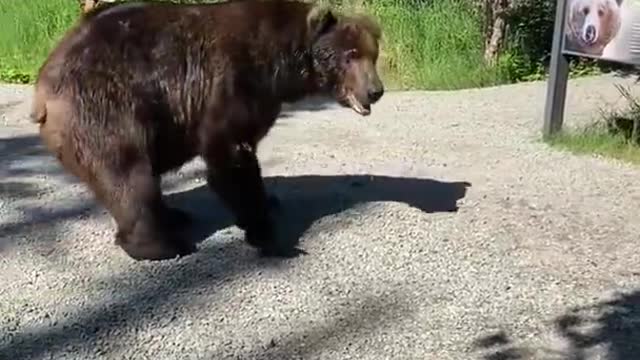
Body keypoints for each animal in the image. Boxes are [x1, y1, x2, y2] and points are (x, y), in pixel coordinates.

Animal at [30, 0, 384, 260]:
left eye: (373, 54)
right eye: (351, 55)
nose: (375, 91)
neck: (280, 64)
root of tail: (44, 85)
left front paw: (270, 201)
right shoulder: (229, 82)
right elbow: (230, 156)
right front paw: (268, 234)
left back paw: (174, 216)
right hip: (106, 107)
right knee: (128, 174)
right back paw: (164, 244)